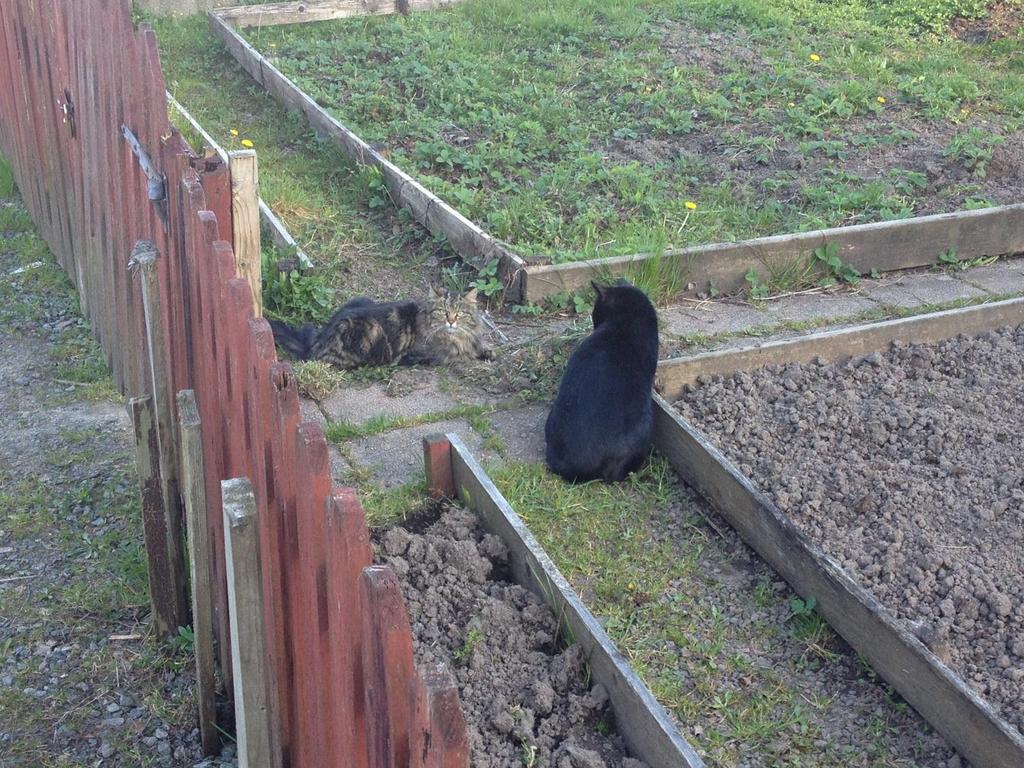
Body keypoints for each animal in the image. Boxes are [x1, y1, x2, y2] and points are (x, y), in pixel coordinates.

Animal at [266, 288, 493, 372]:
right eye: (443, 312)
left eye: (460, 313)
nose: (451, 321)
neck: (455, 338)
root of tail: (314, 343)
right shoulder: (426, 355)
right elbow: (457, 357)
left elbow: (482, 348)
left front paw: (487, 353)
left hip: (360, 300)